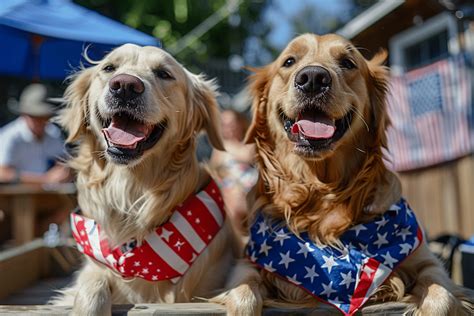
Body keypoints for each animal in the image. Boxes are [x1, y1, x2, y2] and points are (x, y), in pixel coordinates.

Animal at [51, 43, 237, 314]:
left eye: (164, 74)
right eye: (109, 68)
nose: (125, 86)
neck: (132, 190)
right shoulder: (94, 271)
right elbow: (92, 286)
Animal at [221, 33, 474, 314]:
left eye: (348, 63)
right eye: (289, 61)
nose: (312, 78)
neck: (320, 196)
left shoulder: (428, 263)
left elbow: (441, 296)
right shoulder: (249, 263)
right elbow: (243, 292)